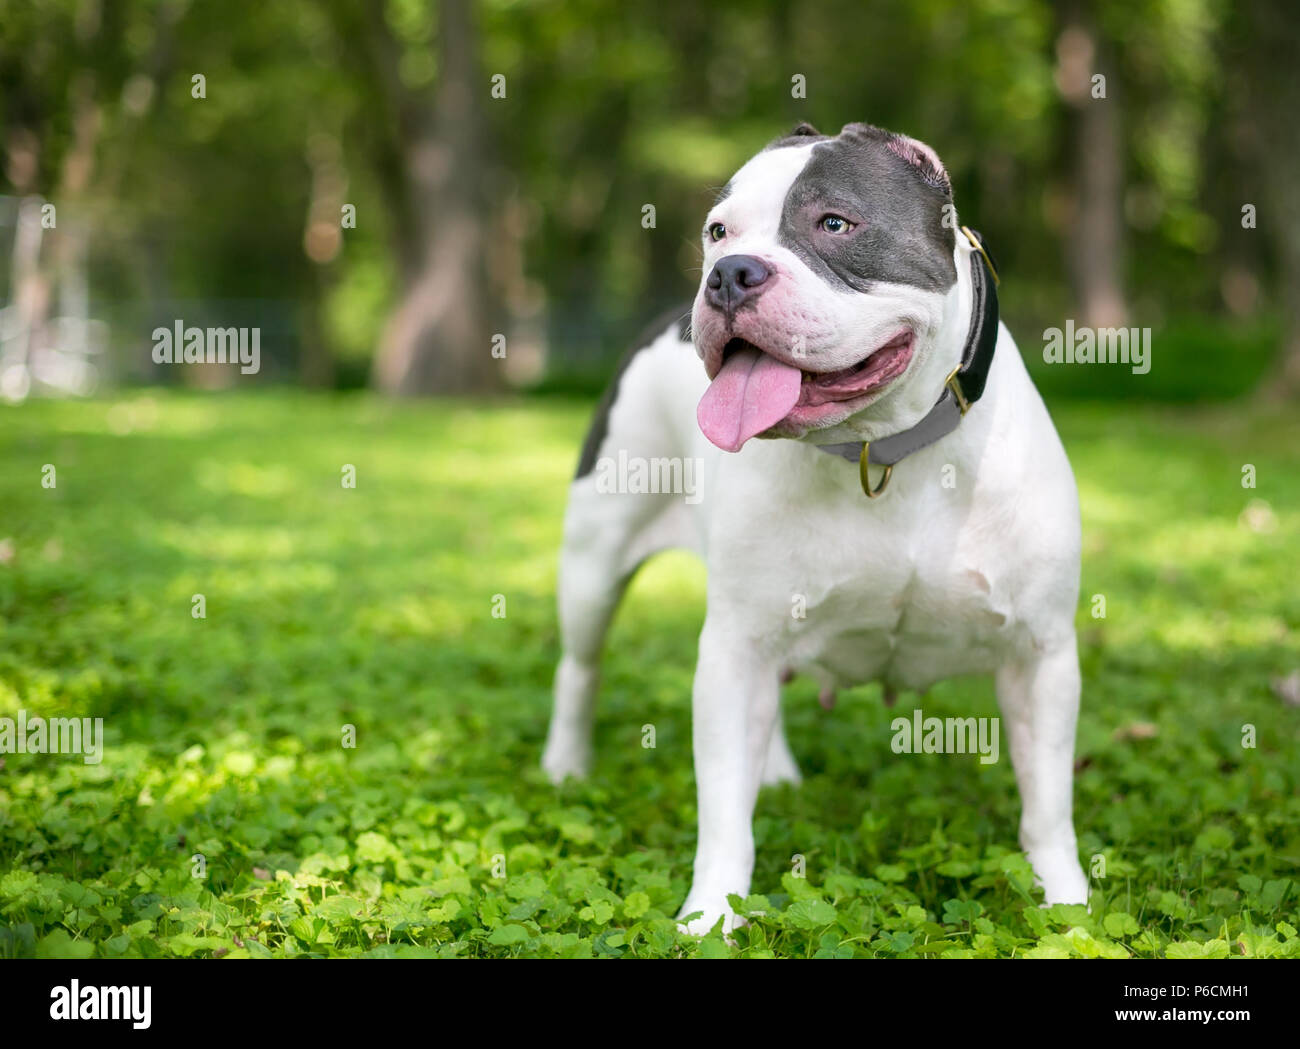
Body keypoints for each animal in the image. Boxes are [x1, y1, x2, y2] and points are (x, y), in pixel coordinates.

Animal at [538, 122, 1086, 935]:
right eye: (718, 231)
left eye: (835, 224)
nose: (729, 274)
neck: (882, 448)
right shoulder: (734, 648)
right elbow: (723, 812)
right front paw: (710, 918)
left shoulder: (1040, 652)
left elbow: (1047, 802)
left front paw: (1068, 904)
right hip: (593, 562)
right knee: (580, 665)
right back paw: (566, 767)